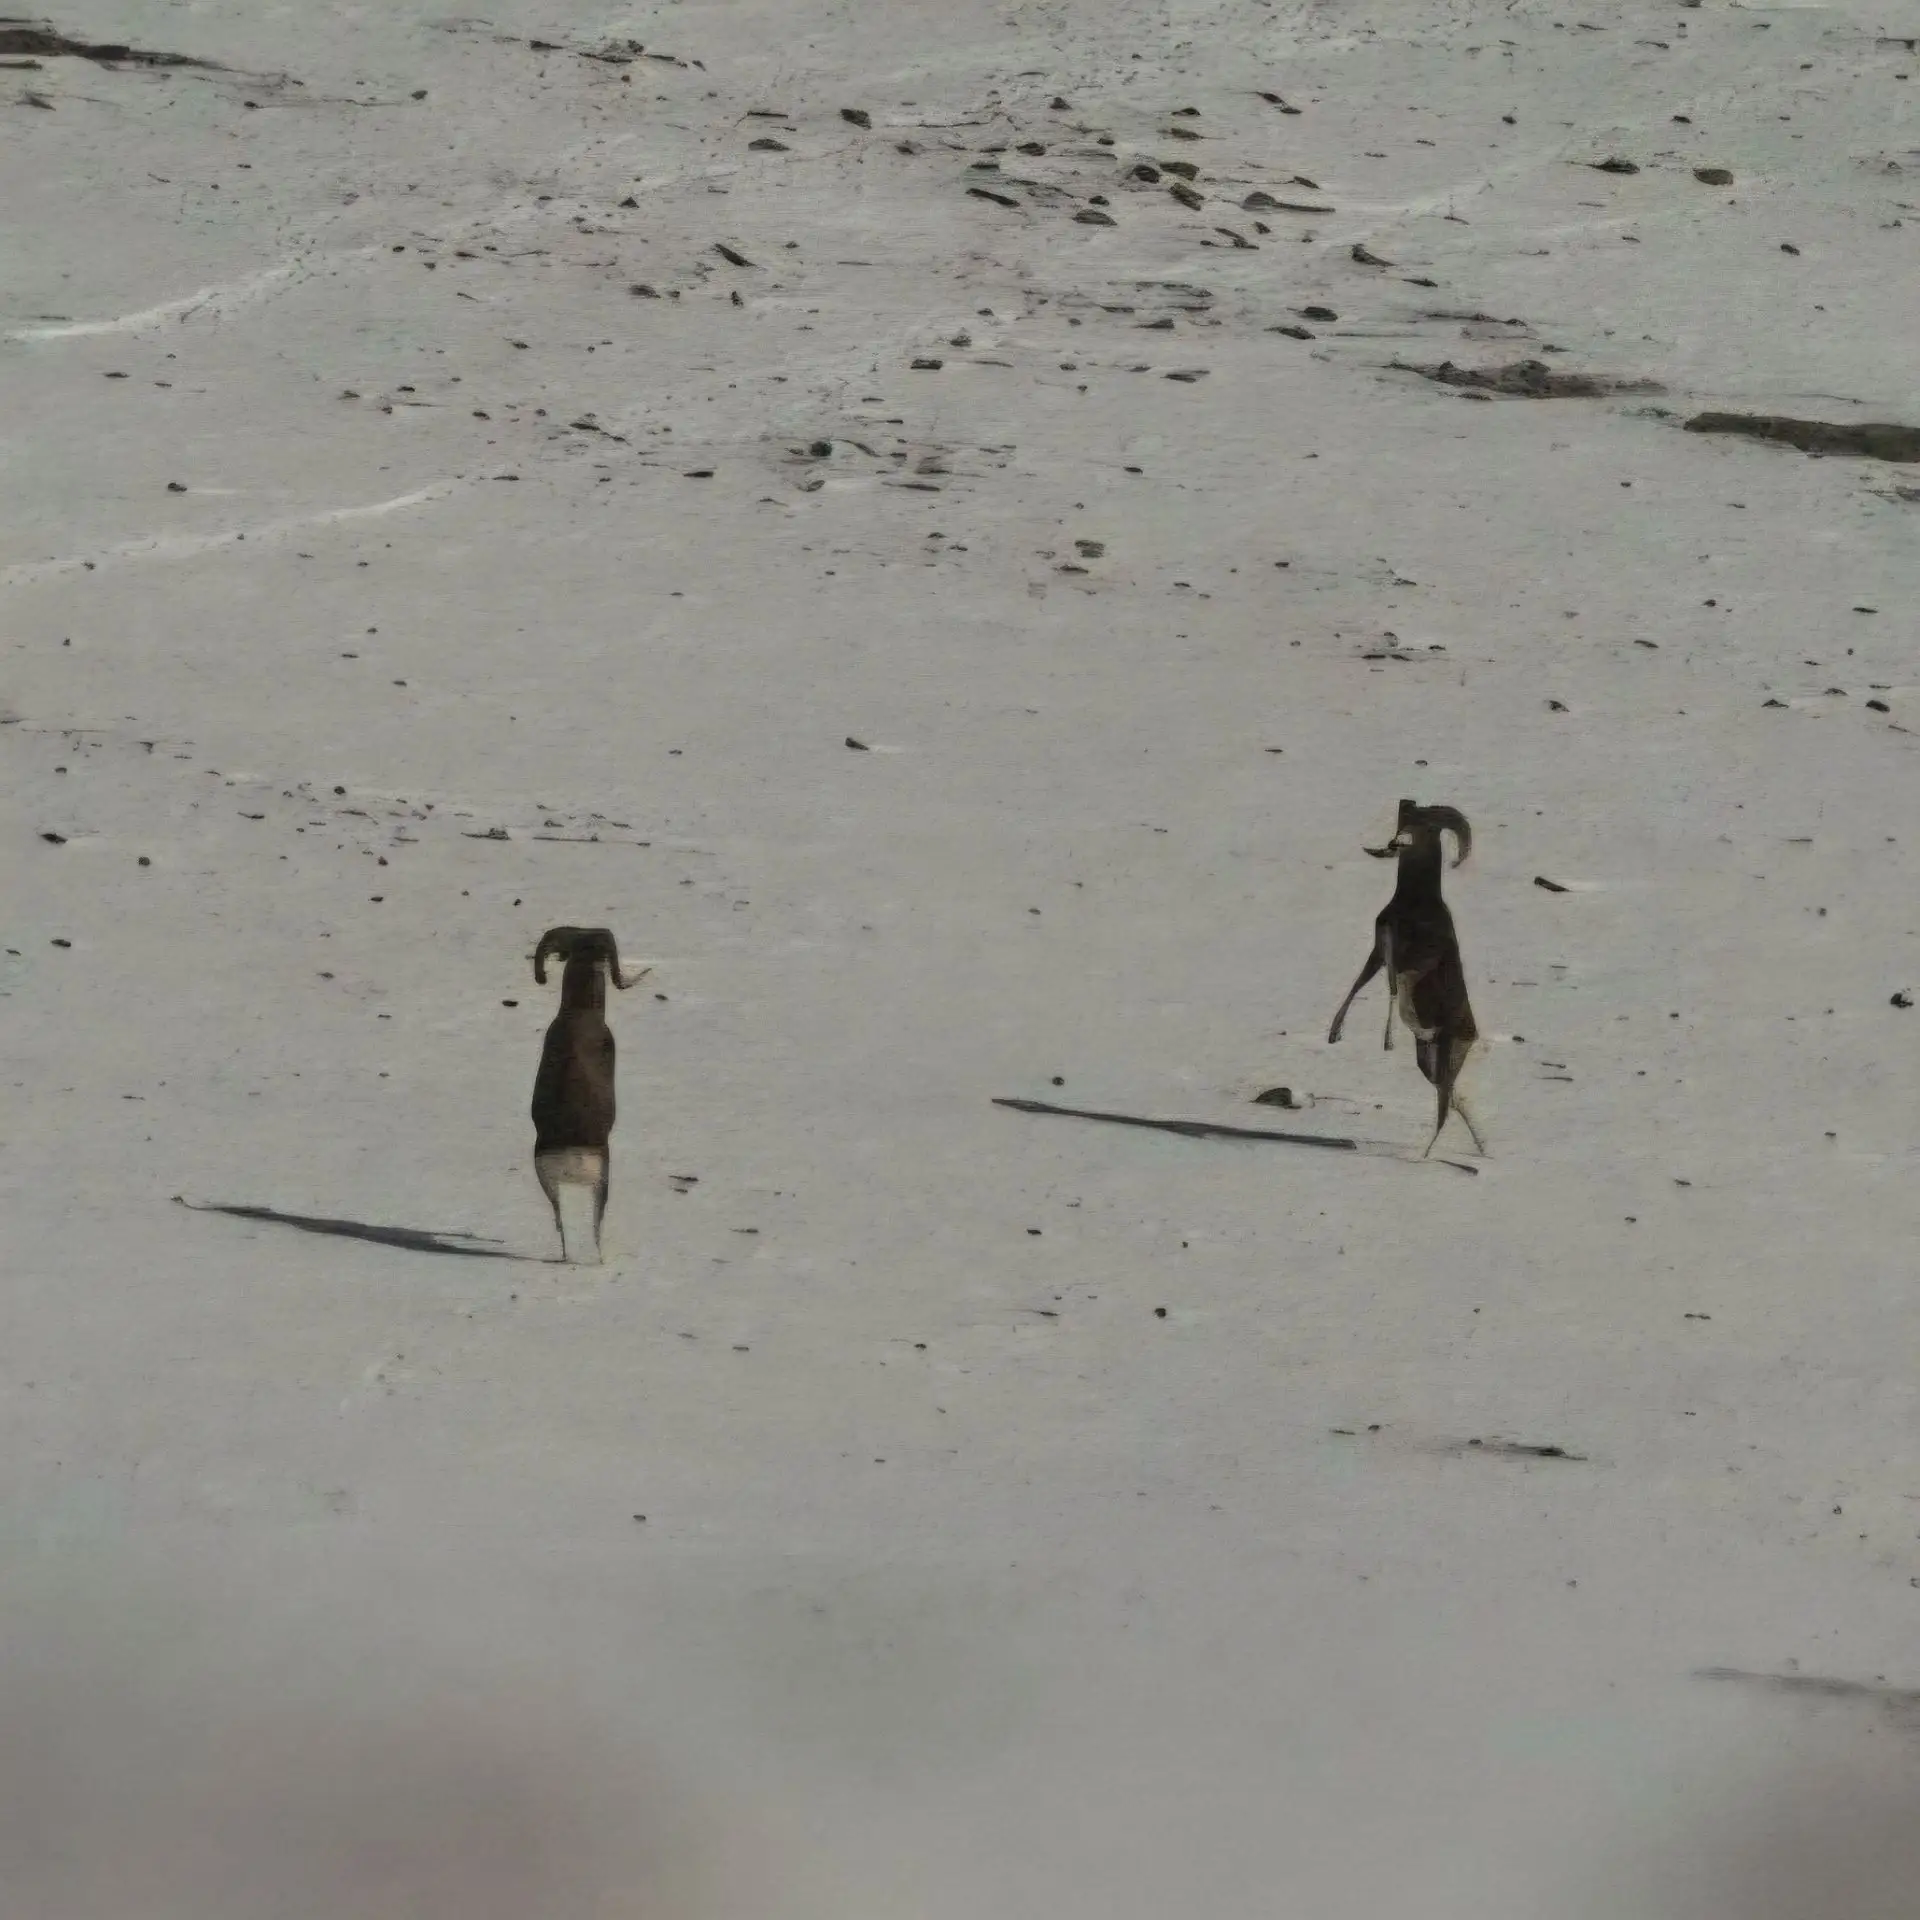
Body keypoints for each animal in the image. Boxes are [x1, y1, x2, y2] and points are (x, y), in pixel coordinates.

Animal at [1326, 801, 1487, 1156]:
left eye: (1427, 827)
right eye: (1405, 819)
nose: (1396, 842)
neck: (1414, 904)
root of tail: (1472, 1034)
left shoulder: (1410, 964)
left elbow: (1393, 987)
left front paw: (1388, 1041)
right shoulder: (1379, 950)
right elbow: (1359, 986)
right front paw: (1334, 1034)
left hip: (1443, 1058)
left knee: (1444, 1108)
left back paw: (1425, 1157)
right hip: (1428, 1062)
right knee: (1452, 1100)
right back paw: (1480, 1148)